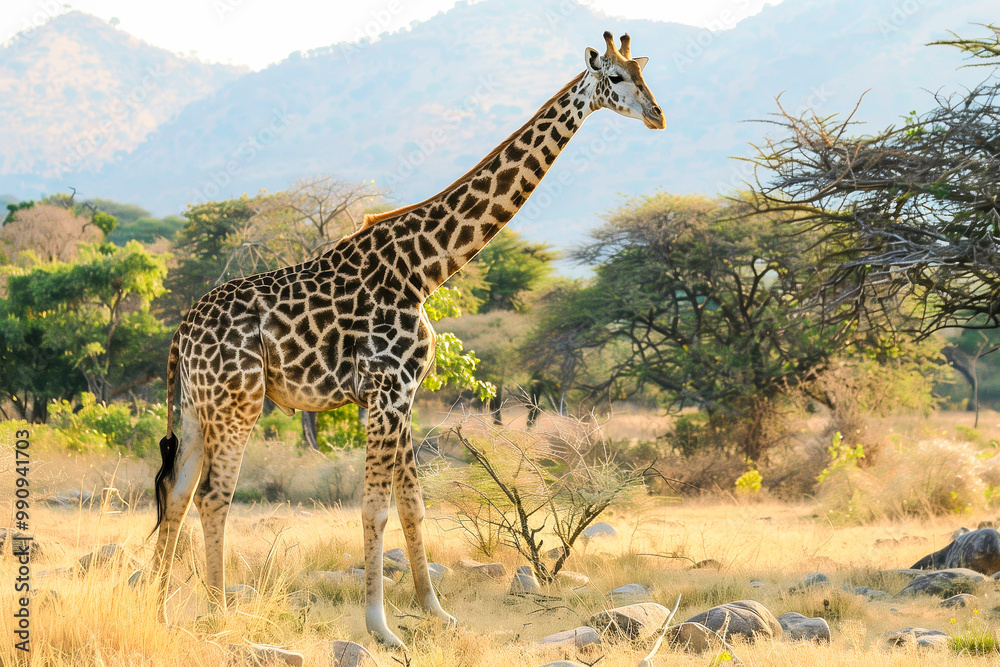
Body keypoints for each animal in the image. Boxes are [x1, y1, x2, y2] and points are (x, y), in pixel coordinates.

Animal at [151, 31, 664, 649]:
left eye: (644, 73)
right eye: (615, 79)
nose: (658, 115)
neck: (425, 269)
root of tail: (180, 333)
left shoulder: (407, 393)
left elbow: (414, 505)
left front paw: (436, 612)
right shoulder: (385, 390)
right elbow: (375, 508)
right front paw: (381, 628)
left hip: (200, 407)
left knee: (177, 493)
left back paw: (156, 608)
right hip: (239, 402)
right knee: (213, 496)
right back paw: (218, 612)